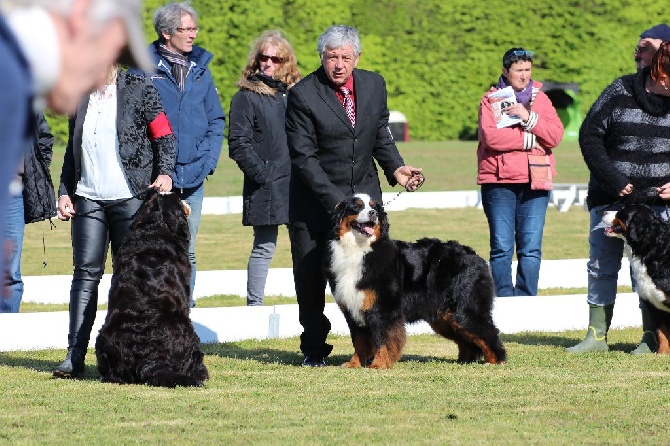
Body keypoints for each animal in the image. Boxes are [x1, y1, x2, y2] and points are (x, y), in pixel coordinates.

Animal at [96, 191, 209, 386]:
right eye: (177, 200)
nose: (180, 193)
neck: (153, 229)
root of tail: (150, 356)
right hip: (190, 331)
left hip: (102, 337)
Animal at [326, 193, 510, 368]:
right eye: (357, 207)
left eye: (374, 207)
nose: (373, 214)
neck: (360, 249)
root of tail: (475, 256)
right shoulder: (353, 309)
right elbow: (359, 341)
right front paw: (354, 364)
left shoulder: (383, 309)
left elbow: (384, 339)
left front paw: (379, 364)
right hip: (445, 317)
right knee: (467, 339)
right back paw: (464, 361)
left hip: (465, 310)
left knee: (489, 332)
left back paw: (496, 361)